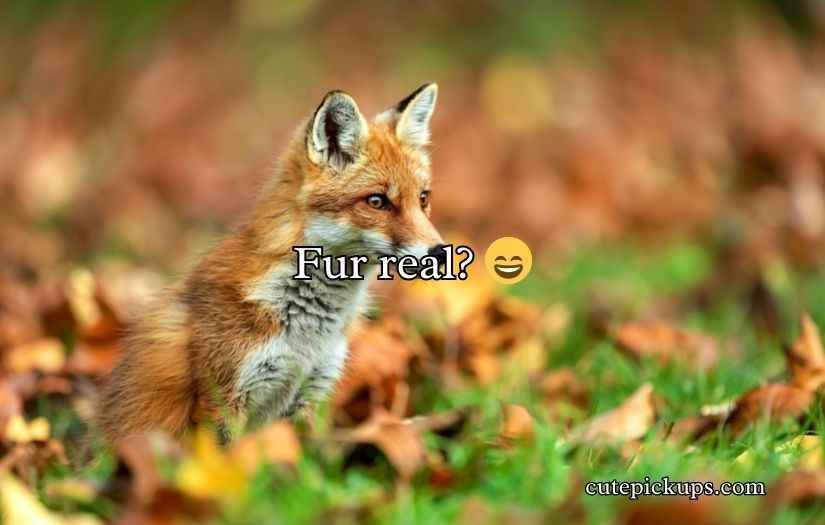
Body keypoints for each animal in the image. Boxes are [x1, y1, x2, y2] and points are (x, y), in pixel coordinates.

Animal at [99, 83, 445, 443]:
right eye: (377, 202)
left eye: (423, 198)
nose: (439, 252)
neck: (308, 334)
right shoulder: (223, 398)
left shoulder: (308, 392)